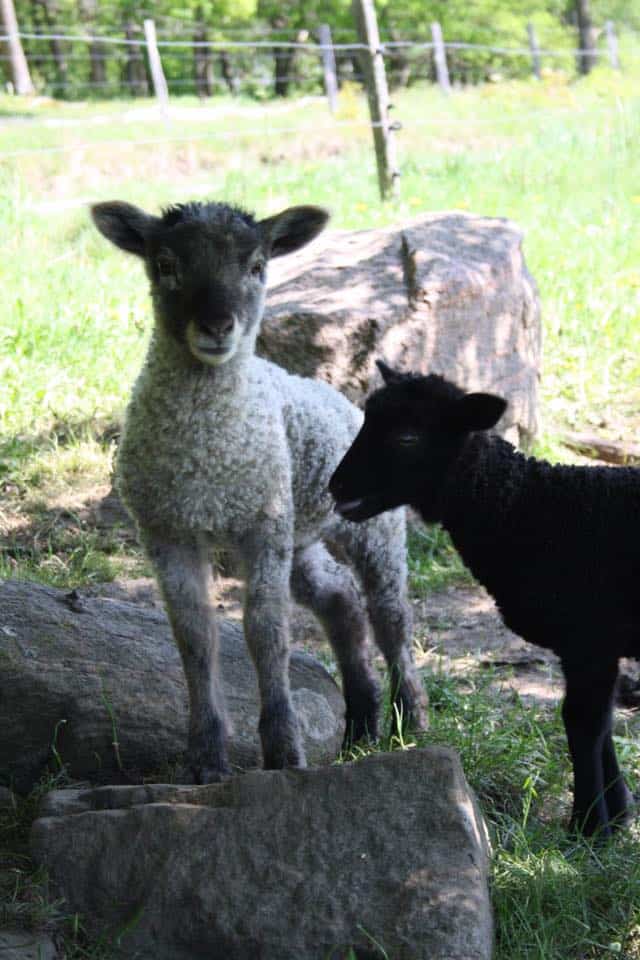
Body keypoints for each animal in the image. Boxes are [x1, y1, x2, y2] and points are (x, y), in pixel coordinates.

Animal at [91, 197, 424, 780]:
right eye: (165, 265)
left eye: (257, 266)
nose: (216, 326)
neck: (204, 459)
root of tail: (336, 396)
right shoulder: (168, 533)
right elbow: (194, 637)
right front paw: (206, 759)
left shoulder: (260, 527)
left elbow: (265, 632)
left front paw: (285, 753)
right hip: (298, 532)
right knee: (339, 597)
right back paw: (360, 725)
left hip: (372, 528)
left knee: (390, 614)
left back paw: (410, 721)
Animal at [330, 356, 640, 836]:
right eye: (366, 419)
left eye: (407, 438)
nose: (337, 486)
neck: (527, 507)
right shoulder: (595, 647)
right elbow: (602, 726)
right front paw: (617, 816)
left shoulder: (588, 636)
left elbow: (582, 723)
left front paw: (587, 827)